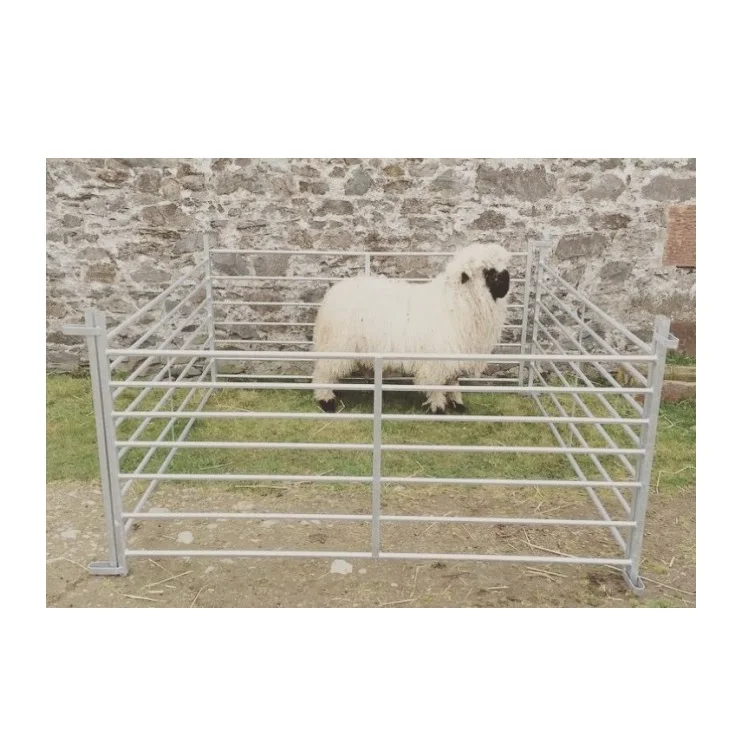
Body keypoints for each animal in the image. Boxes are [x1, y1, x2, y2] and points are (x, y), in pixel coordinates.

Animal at [311, 243, 511, 414]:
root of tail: (333, 293)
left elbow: (453, 382)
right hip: (337, 346)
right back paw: (326, 402)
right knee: (323, 373)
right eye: (488, 272)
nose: (508, 279)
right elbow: (435, 385)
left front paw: (458, 404)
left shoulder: (454, 355)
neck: (455, 303)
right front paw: (438, 408)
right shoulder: (436, 360)